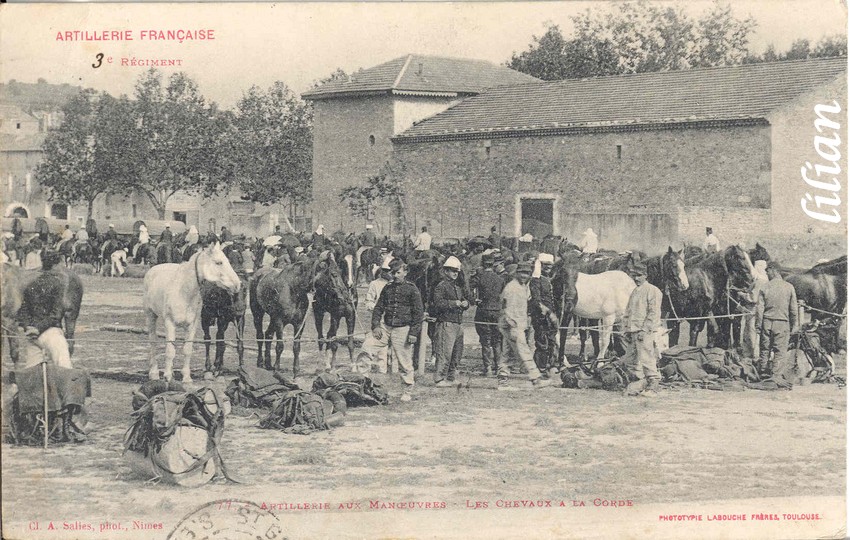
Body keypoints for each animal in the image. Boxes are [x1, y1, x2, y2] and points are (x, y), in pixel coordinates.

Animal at [144, 243, 240, 382]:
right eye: (219, 262)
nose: (237, 284)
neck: (184, 292)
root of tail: (153, 269)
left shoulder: (192, 325)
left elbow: (187, 350)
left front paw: (186, 377)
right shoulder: (169, 323)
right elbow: (170, 351)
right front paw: (167, 377)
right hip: (150, 315)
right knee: (153, 342)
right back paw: (154, 373)